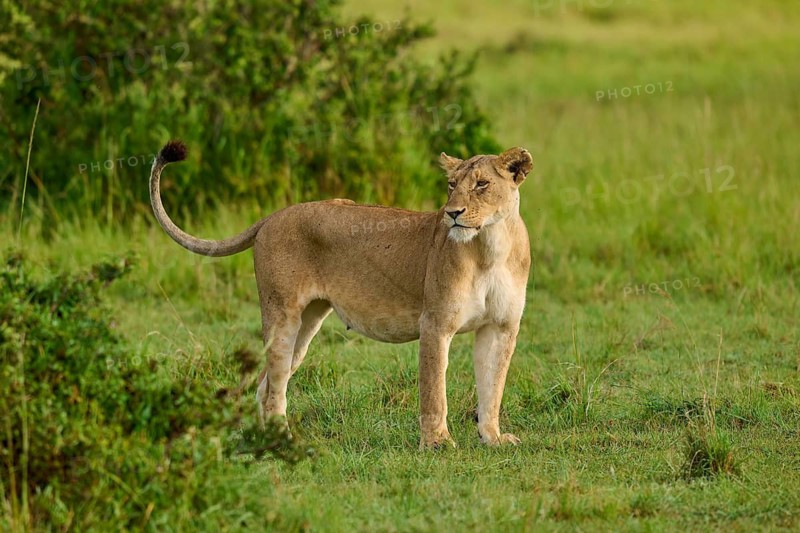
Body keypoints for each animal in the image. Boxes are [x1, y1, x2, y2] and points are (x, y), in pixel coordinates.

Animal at [149, 140, 532, 448]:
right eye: (451, 186)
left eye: (482, 184)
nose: (452, 213)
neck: (489, 246)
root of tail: (273, 215)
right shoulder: (435, 324)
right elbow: (434, 389)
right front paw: (437, 444)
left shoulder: (500, 327)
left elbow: (492, 387)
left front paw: (493, 438)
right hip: (282, 316)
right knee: (274, 387)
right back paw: (283, 440)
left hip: (307, 324)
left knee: (265, 383)